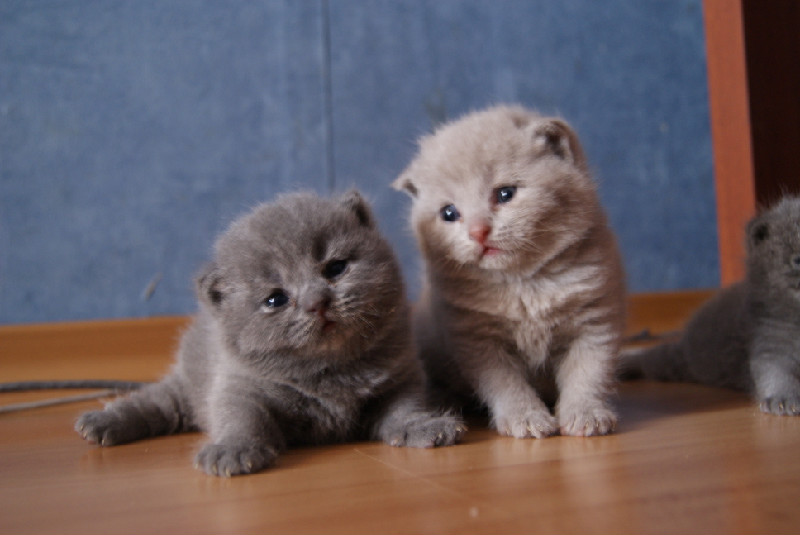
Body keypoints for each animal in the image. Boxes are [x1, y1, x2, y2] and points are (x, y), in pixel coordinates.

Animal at [75, 190, 465, 476]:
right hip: (187, 387)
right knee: (154, 401)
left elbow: (406, 407)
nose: (317, 301)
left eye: (336, 268)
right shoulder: (238, 384)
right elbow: (240, 416)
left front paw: (424, 426)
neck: (333, 370)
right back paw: (101, 422)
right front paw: (232, 450)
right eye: (275, 299)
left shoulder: (401, 377)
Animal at [392, 104, 626, 438]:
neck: (525, 284)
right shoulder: (478, 340)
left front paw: (585, 414)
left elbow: (589, 374)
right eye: (449, 213)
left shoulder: (595, 321)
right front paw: (526, 418)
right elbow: (505, 385)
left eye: (505, 194)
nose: (478, 231)